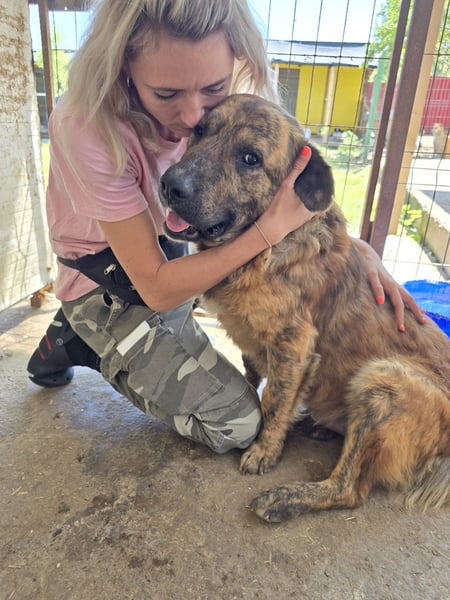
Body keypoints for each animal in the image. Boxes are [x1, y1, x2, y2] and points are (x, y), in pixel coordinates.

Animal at [160, 94, 450, 522]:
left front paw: (264, 450)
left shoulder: (293, 345)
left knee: (350, 489)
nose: (169, 184)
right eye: (200, 131)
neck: (266, 249)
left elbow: (274, 402)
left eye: (250, 158)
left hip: (384, 380)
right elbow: (253, 380)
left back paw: (284, 499)